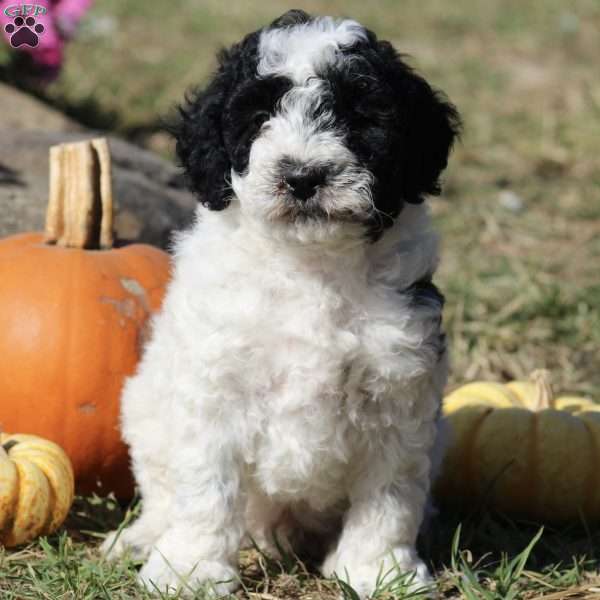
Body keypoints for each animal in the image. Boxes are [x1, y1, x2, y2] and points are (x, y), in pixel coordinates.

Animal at [103, 10, 460, 600]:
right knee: (162, 491)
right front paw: (190, 570)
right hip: (144, 408)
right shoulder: (214, 384)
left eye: (359, 115)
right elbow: (206, 486)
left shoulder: (398, 390)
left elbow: (389, 495)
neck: (308, 264)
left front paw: (379, 571)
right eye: (257, 116)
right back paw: (142, 538)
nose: (302, 177)